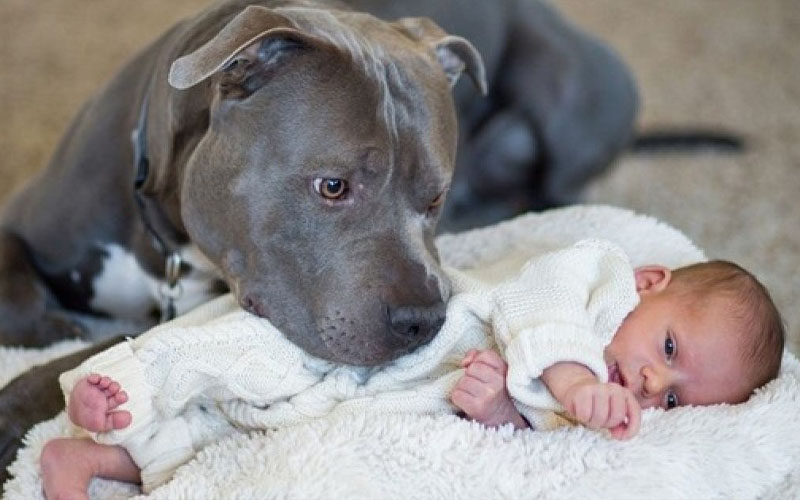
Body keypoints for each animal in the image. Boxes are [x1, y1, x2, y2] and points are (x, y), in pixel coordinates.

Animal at [0, 0, 636, 480]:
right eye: (332, 186)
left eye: (434, 198)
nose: (424, 322)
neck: (166, 240)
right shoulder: (22, 218)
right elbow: (22, 305)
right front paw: (55, 329)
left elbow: (112, 351)